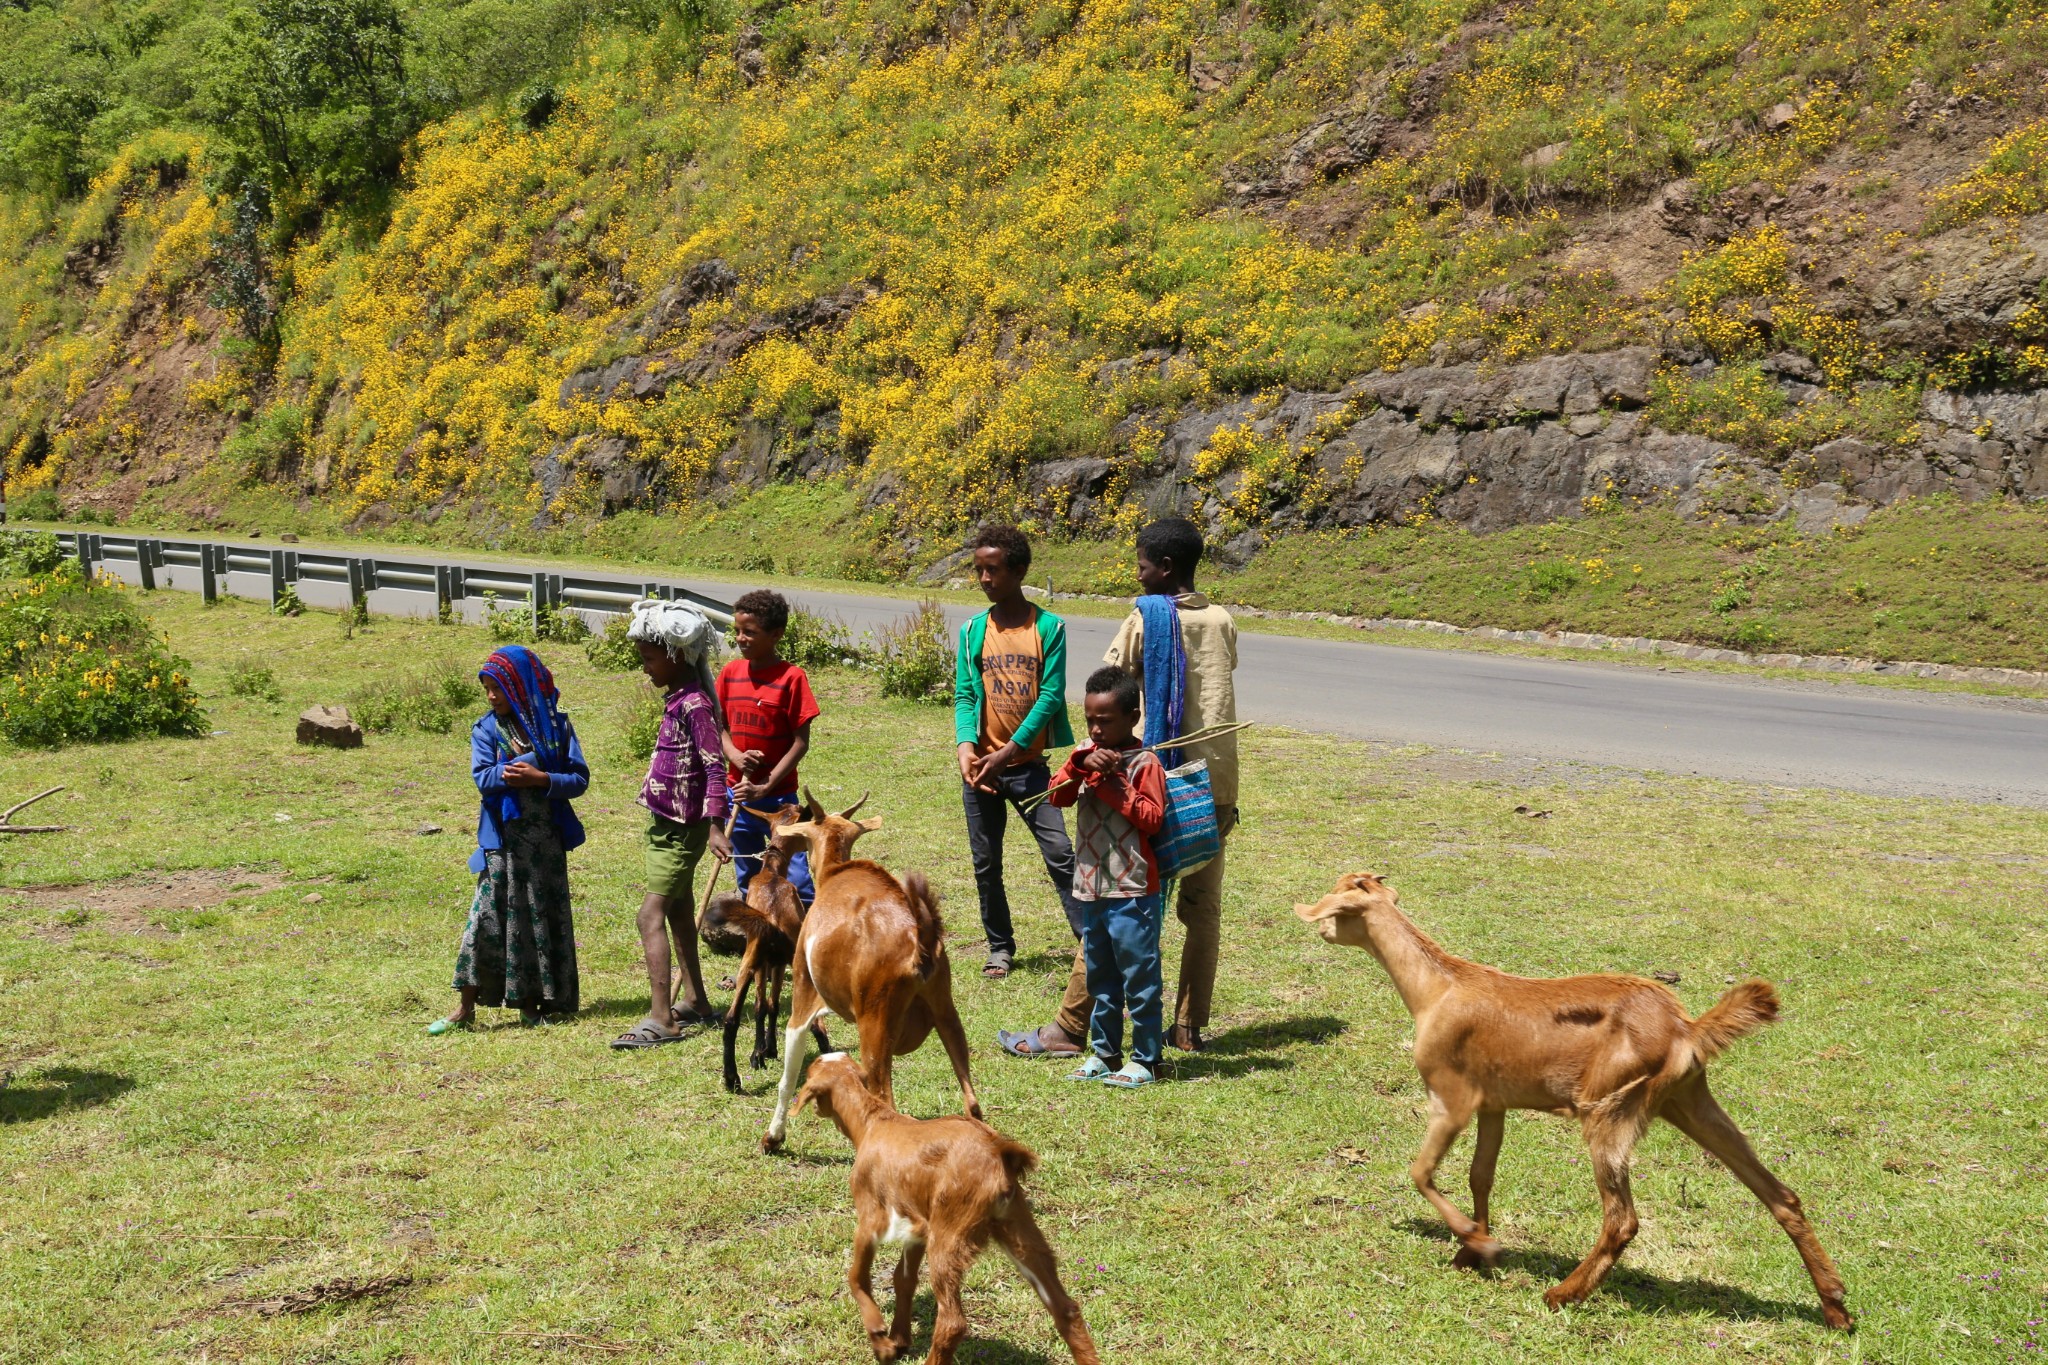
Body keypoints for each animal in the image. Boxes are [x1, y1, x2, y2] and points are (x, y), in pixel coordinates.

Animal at [761, 789, 983, 1154]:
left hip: (874, 1026)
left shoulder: (803, 998)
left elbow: (787, 1078)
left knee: (885, 1101)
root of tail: (918, 940)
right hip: (947, 1015)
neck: (837, 871)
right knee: (972, 1102)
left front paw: (773, 1137)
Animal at [794, 1055, 1105, 1365]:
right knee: (1064, 1306)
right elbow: (903, 1278)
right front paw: (899, 1339)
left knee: (953, 1322)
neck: (872, 1123)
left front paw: (881, 1340)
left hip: (952, 1228)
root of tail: (1001, 1154)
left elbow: (856, 1276)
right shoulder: (918, 1225)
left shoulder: (872, 1215)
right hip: (1017, 1226)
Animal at [1294, 871, 1859, 1326]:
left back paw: (1562, 1295)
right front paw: (1469, 1252)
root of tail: (1686, 1029)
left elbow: (1421, 1171)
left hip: (1610, 1107)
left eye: (1338, 905)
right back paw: (1835, 1307)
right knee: (1780, 1194)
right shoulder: (1493, 1103)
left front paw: (1480, 1242)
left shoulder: (1451, 1096)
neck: (1438, 988)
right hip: (1688, 1100)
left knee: (1622, 1218)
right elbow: (1481, 1175)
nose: (1317, 927)